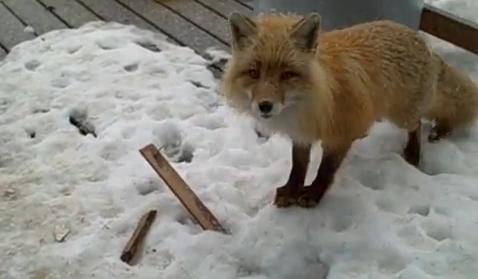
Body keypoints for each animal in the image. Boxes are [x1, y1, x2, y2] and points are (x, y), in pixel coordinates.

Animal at [220, 12, 478, 208]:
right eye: (254, 72)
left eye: (287, 74)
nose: (265, 106)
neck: (312, 101)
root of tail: (422, 41)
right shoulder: (302, 134)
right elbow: (298, 165)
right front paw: (292, 190)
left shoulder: (340, 134)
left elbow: (325, 170)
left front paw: (313, 194)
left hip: (401, 115)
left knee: (416, 124)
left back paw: (414, 152)